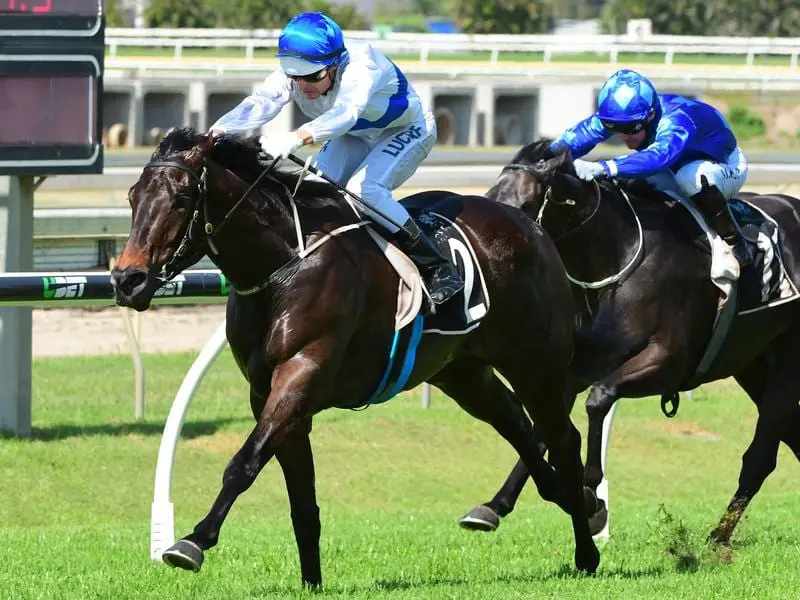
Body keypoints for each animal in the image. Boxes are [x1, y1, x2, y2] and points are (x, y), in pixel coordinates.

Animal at [111, 129, 600, 584]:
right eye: (133, 196)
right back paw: (573, 503)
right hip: (462, 373)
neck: (283, 263)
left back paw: (586, 549)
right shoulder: (270, 394)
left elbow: (243, 464)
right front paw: (311, 581)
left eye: (180, 200)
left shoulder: (302, 373)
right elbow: (301, 499)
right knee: (519, 428)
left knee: (562, 438)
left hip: (535, 364)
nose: (127, 280)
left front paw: (192, 542)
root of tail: (531, 226)